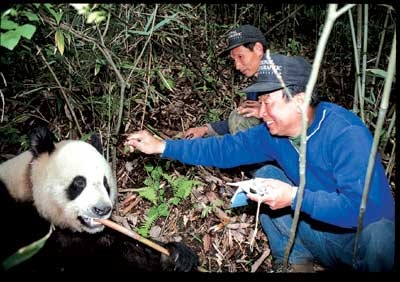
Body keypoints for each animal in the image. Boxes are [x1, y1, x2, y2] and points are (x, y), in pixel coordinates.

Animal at [0, 126, 198, 272]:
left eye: (105, 183)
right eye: (79, 183)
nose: (102, 210)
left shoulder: (96, 241)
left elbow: (130, 253)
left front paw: (176, 255)